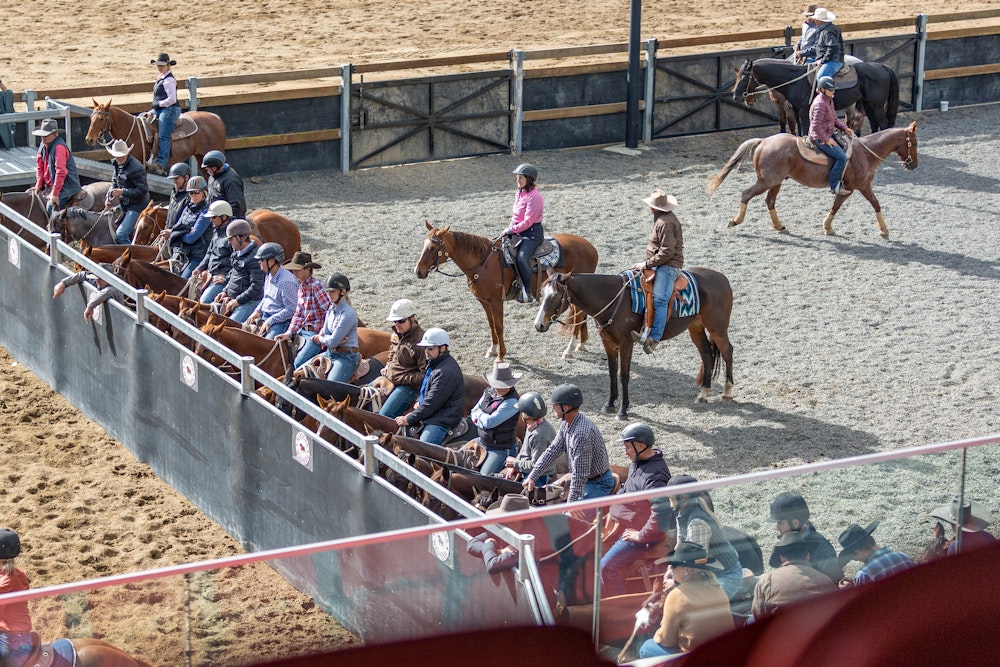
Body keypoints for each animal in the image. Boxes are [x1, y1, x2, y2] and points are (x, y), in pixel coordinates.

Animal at [87, 100, 226, 174]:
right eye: (91, 117)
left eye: (101, 118)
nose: (89, 139)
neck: (132, 131)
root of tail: (217, 118)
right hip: (201, 157)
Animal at [412, 222, 596, 362]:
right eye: (423, 244)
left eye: (433, 247)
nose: (418, 272)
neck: (483, 262)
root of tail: (591, 247)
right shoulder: (484, 301)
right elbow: (492, 325)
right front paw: (492, 350)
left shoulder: (496, 301)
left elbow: (499, 326)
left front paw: (500, 356)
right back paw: (581, 344)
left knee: (579, 316)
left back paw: (569, 349)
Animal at [532, 270, 736, 418]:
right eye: (542, 293)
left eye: (556, 295)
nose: (539, 324)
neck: (612, 299)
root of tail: (722, 279)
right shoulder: (607, 342)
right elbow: (612, 373)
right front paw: (609, 404)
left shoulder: (626, 343)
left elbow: (624, 375)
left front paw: (623, 410)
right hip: (696, 326)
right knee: (707, 354)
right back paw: (703, 394)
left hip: (717, 328)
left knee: (727, 351)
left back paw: (727, 392)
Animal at [708, 121, 916, 239]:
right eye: (913, 143)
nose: (913, 165)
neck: (864, 153)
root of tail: (764, 141)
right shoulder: (850, 188)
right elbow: (836, 206)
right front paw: (828, 228)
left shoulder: (864, 186)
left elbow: (876, 204)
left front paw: (884, 230)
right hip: (767, 181)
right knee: (747, 194)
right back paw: (735, 221)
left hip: (776, 182)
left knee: (770, 201)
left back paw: (780, 226)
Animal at [732, 58, 904, 139]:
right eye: (737, 75)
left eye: (744, 77)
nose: (736, 96)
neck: (794, 79)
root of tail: (883, 67)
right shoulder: (795, 110)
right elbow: (799, 131)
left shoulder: (803, 110)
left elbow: (805, 130)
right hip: (868, 104)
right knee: (875, 123)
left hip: (876, 105)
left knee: (884, 124)